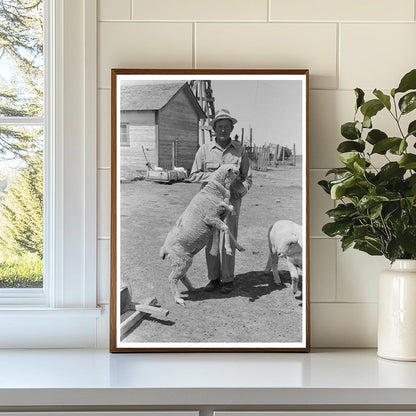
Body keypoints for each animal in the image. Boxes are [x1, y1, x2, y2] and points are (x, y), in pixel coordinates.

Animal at [159, 163, 244, 306]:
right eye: (236, 171)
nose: (242, 175)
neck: (213, 190)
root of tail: (164, 249)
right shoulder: (210, 218)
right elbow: (226, 228)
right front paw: (228, 249)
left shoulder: (219, 217)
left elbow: (228, 228)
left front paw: (238, 247)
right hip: (180, 260)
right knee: (172, 278)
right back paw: (178, 299)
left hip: (184, 259)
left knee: (182, 276)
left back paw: (192, 289)